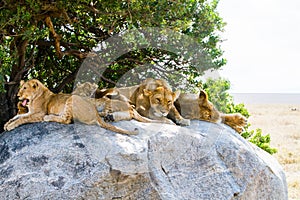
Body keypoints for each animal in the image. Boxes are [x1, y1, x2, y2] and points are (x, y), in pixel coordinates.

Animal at [4, 79, 138, 134]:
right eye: (21, 88)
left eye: (24, 88)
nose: (17, 95)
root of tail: (96, 113)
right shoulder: (30, 111)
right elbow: (17, 116)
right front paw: (6, 124)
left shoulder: (39, 114)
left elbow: (23, 119)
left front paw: (10, 126)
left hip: (70, 99)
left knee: (67, 120)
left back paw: (49, 117)